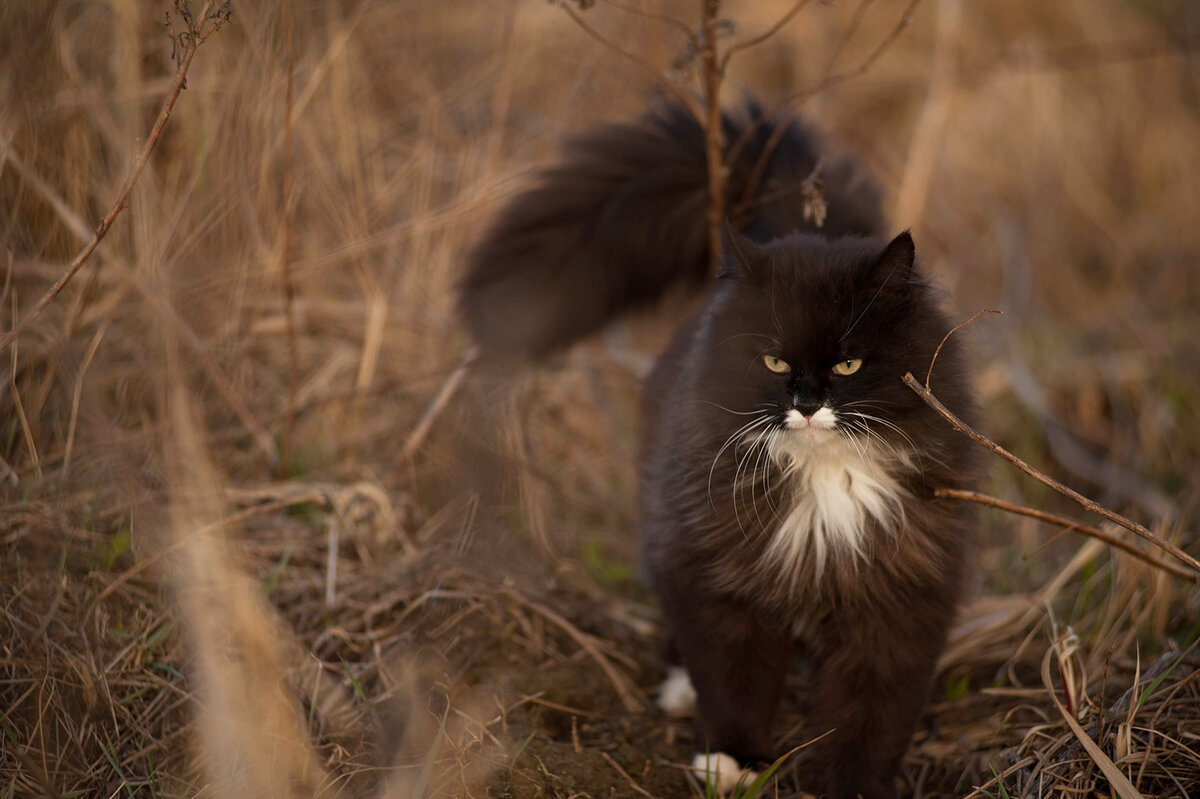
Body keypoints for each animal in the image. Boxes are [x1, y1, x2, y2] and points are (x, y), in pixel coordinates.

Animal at [456, 99, 974, 796]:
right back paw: (678, 693)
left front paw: (852, 785)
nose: (805, 404)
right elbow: (734, 680)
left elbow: (872, 714)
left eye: (848, 364)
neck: (822, 484)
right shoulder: (716, 574)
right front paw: (732, 761)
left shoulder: (900, 595)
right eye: (774, 359)